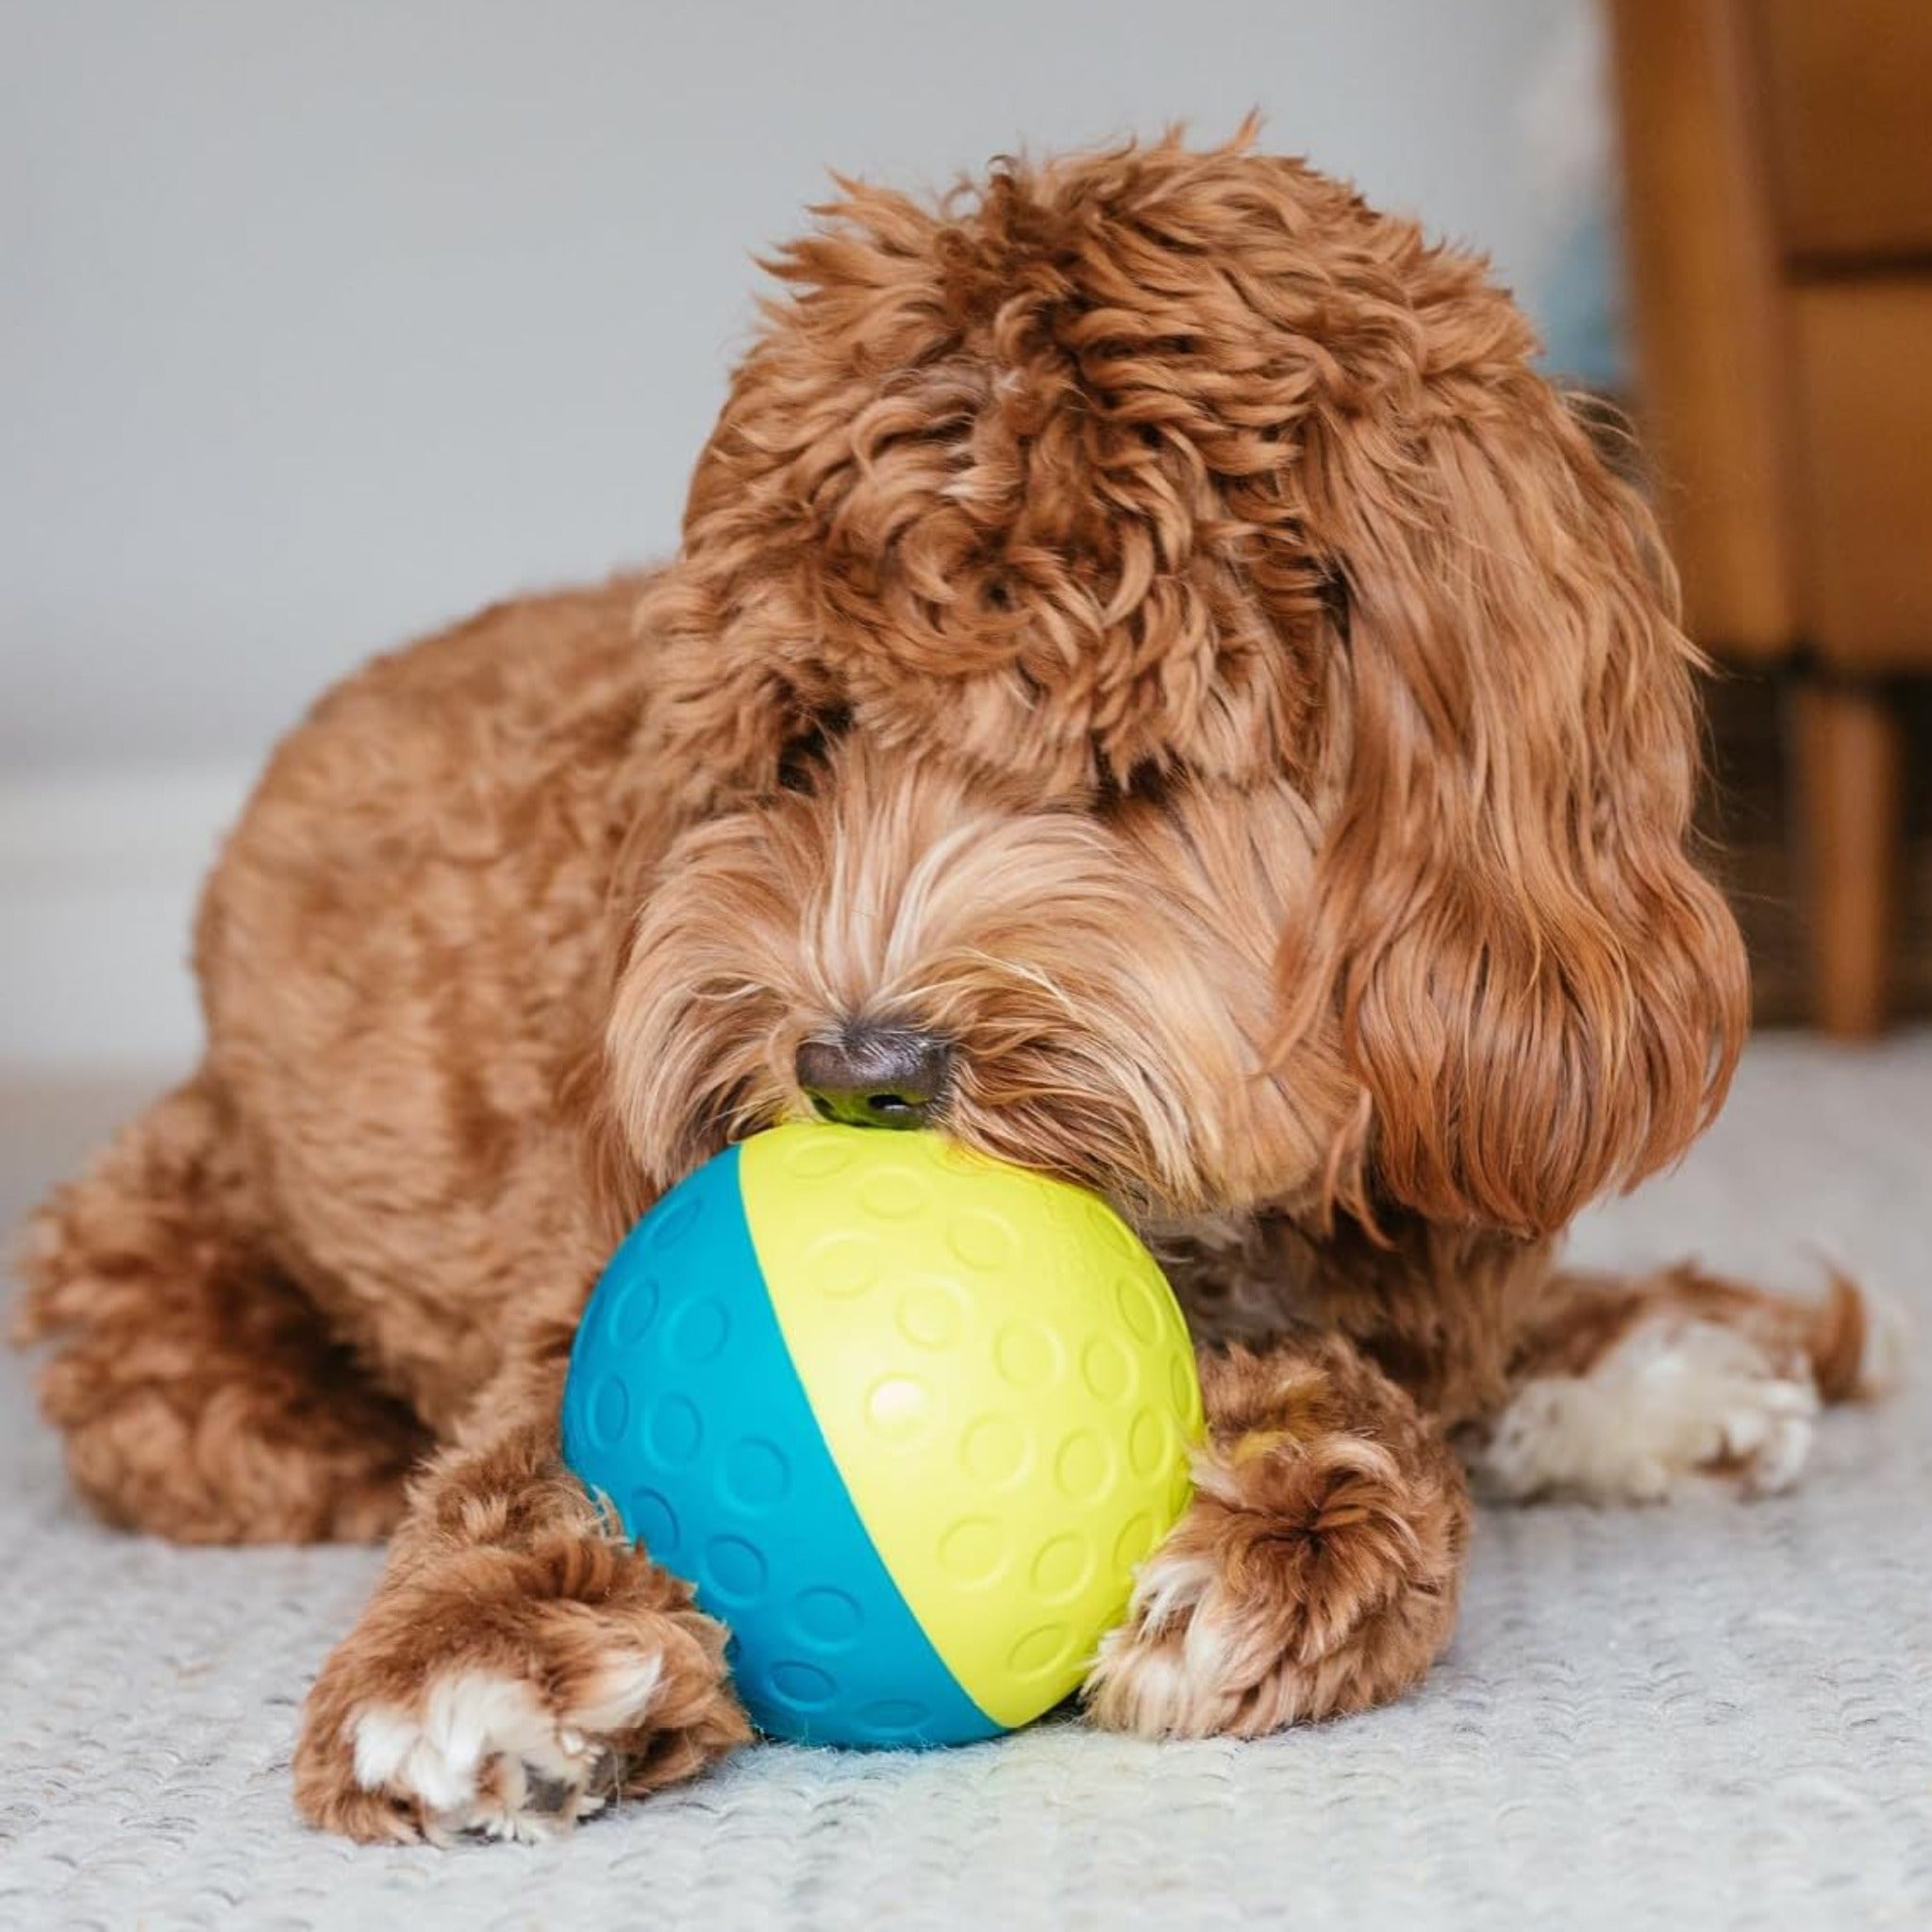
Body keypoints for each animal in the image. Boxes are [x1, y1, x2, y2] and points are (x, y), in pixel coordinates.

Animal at [15, 128, 1885, 1846]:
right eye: (810, 739)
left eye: (1130, 763)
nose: (862, 1068)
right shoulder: (593, 1261)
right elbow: (540, 1432)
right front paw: (484, 1651)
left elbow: (1403, 1387)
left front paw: (1292, 1517)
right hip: (160, 1314)